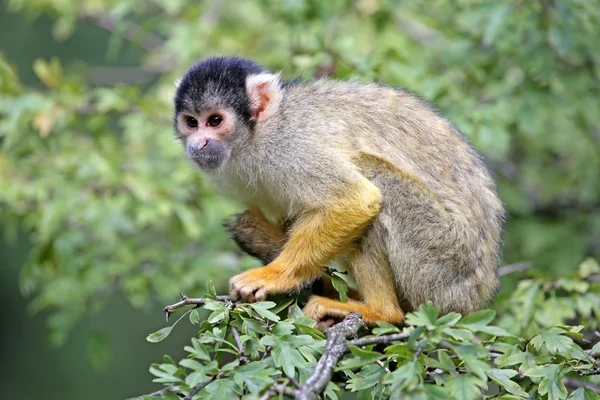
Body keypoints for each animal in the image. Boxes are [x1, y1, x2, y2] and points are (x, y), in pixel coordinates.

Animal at [173, 56, 506, 324]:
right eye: (191, 122)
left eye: (215, 121)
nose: (198, 143)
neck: (258, 135)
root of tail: (475, 300)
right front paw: (261, 235)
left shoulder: (289, 147)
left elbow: (357, 200)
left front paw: (274, 276)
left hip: (444, 265)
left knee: (377, 181)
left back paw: (382, 311)